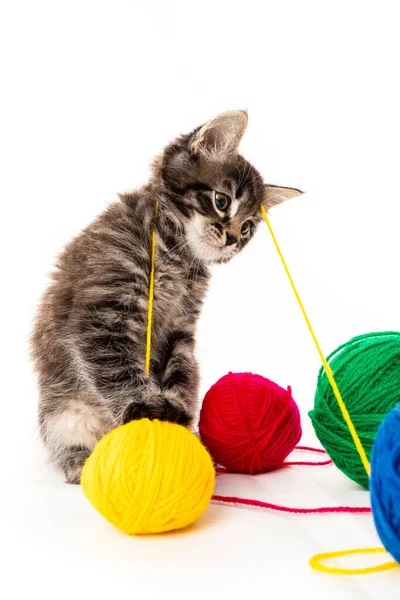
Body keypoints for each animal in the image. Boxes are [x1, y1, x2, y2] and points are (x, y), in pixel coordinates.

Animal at [31, 111, 302, 482]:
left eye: (247, 227)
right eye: (222, 201)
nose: (233, 239)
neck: (175, 254)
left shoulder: (179, 328)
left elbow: (181, 373)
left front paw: (176, 414)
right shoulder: (103, 314)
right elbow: (117, 368)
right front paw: (145, 405)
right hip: (61, 414)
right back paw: (81, 462)